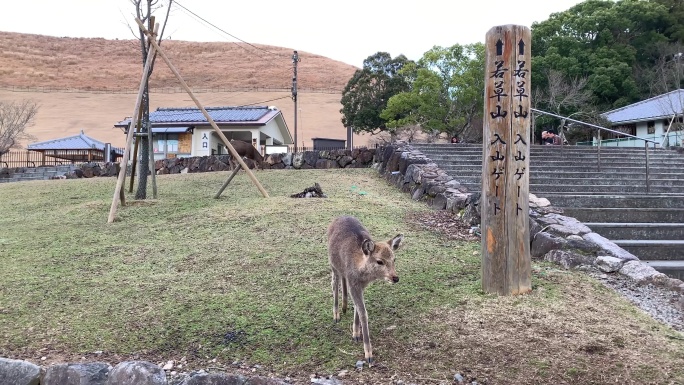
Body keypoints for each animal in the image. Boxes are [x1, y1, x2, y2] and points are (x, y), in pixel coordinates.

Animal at [324, 214, 400, 364]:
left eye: (394, 259)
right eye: (379, 261)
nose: (395, 278)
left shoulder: (360, 285)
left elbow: (358, 309)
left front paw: (356, 334)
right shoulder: (354, 284)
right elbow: (363, 312)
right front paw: (368, 354)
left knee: (342, 280)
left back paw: (344, 307)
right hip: (332, 264)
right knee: (334, 283)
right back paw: (336, 315)